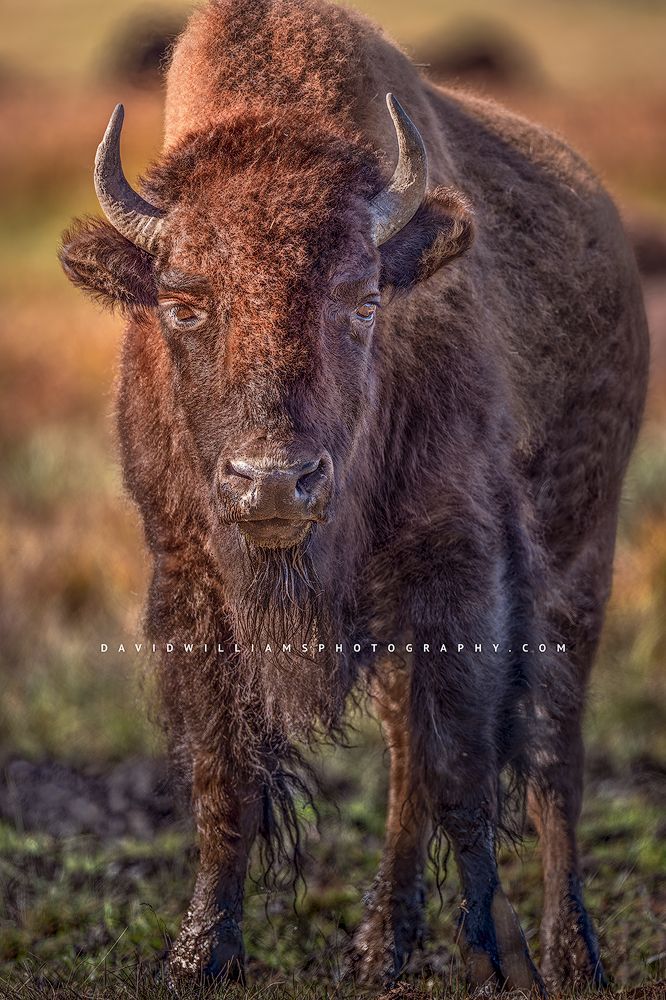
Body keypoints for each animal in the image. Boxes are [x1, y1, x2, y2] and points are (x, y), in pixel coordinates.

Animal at [60, 0, 648, 991]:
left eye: (363, 299)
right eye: (181, 304)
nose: (274, 481)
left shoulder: (458, 567)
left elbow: (464, 770)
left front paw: (496, 958)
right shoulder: (189, 576)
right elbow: (226, 774)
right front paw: (197, 956)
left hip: (578, 564)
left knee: (548, 757)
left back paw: (572, 954)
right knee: (410, 759)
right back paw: (380, 946)